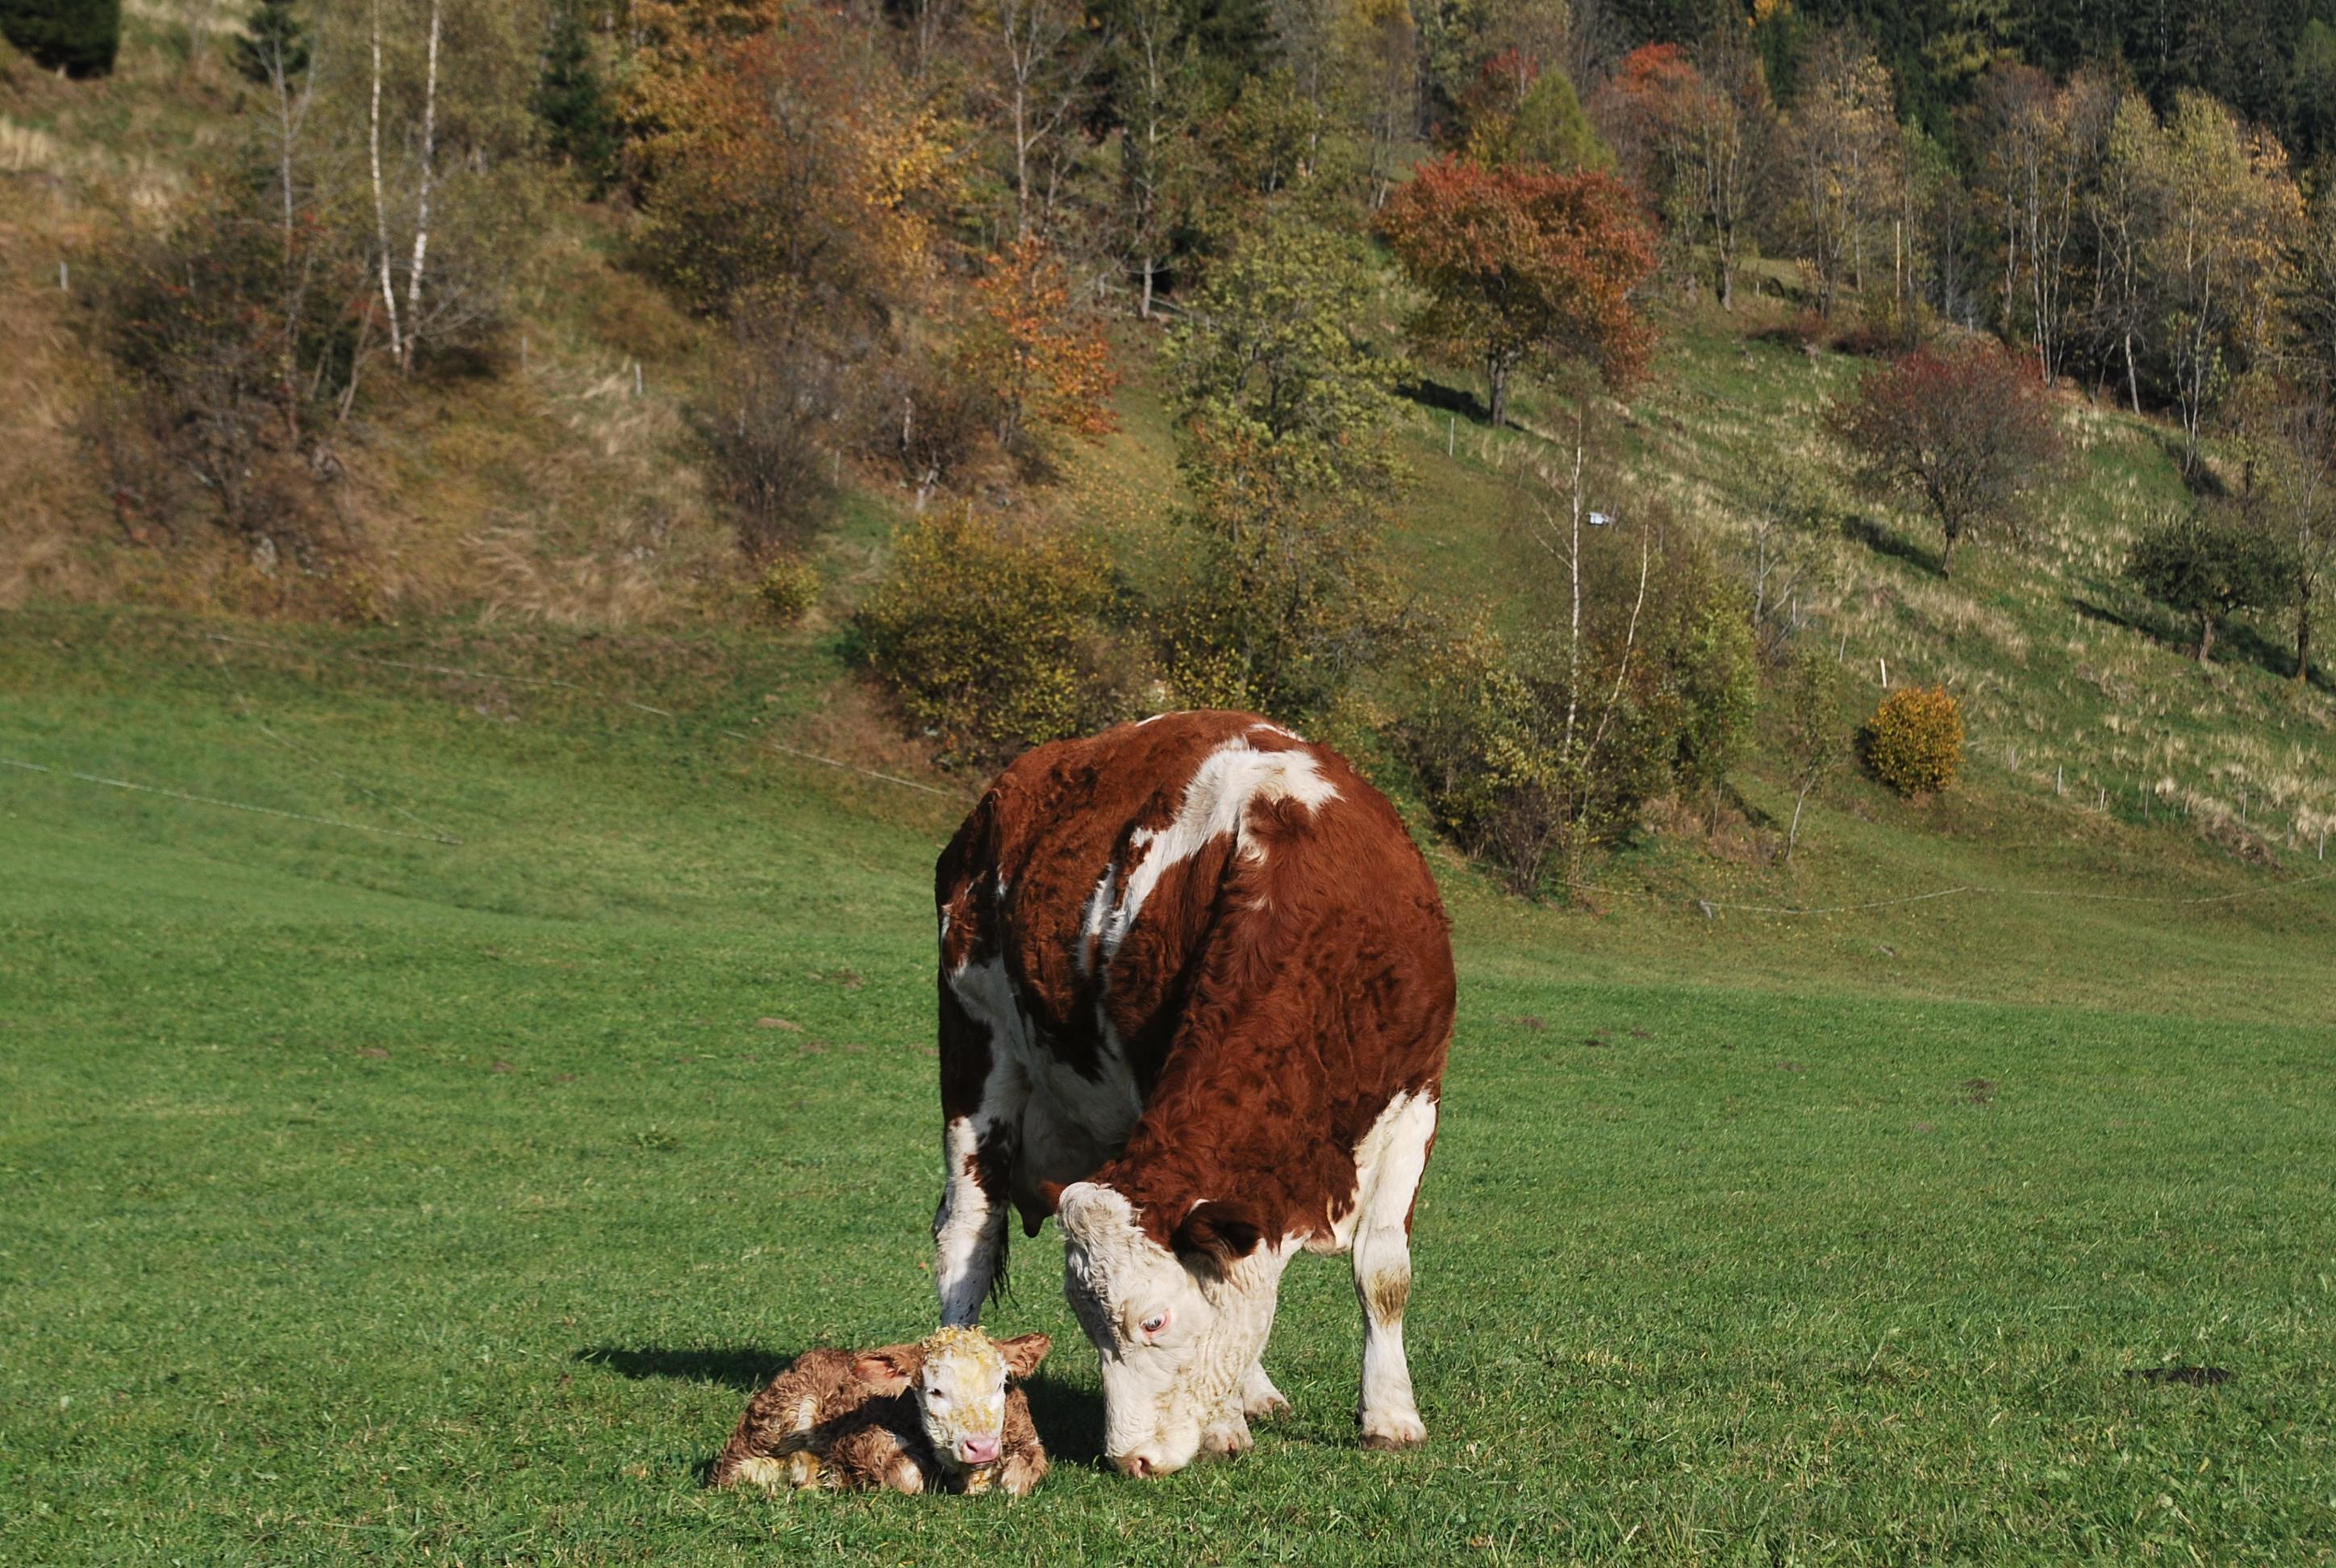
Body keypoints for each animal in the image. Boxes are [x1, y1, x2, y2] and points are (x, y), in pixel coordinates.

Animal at [930, 710, 1456, 1477]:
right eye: (1088, 1323)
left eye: (1154, 1320)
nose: (1129, 1459)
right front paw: (1224, 1426)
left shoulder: (1417, 1096)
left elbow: (1383, 1271)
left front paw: (1390, 1417)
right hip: (973, 1048)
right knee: (968, 1231)